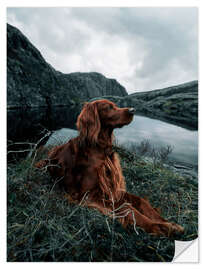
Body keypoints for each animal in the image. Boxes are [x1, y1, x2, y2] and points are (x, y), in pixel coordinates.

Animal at [36, 99, 184, 236]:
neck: (100, 148)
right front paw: (158, 226)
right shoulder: (88, 195)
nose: (133, 110)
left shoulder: (113, 189)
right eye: (108, 107)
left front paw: (167, 222)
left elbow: (141, 201)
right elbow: (128, 208)